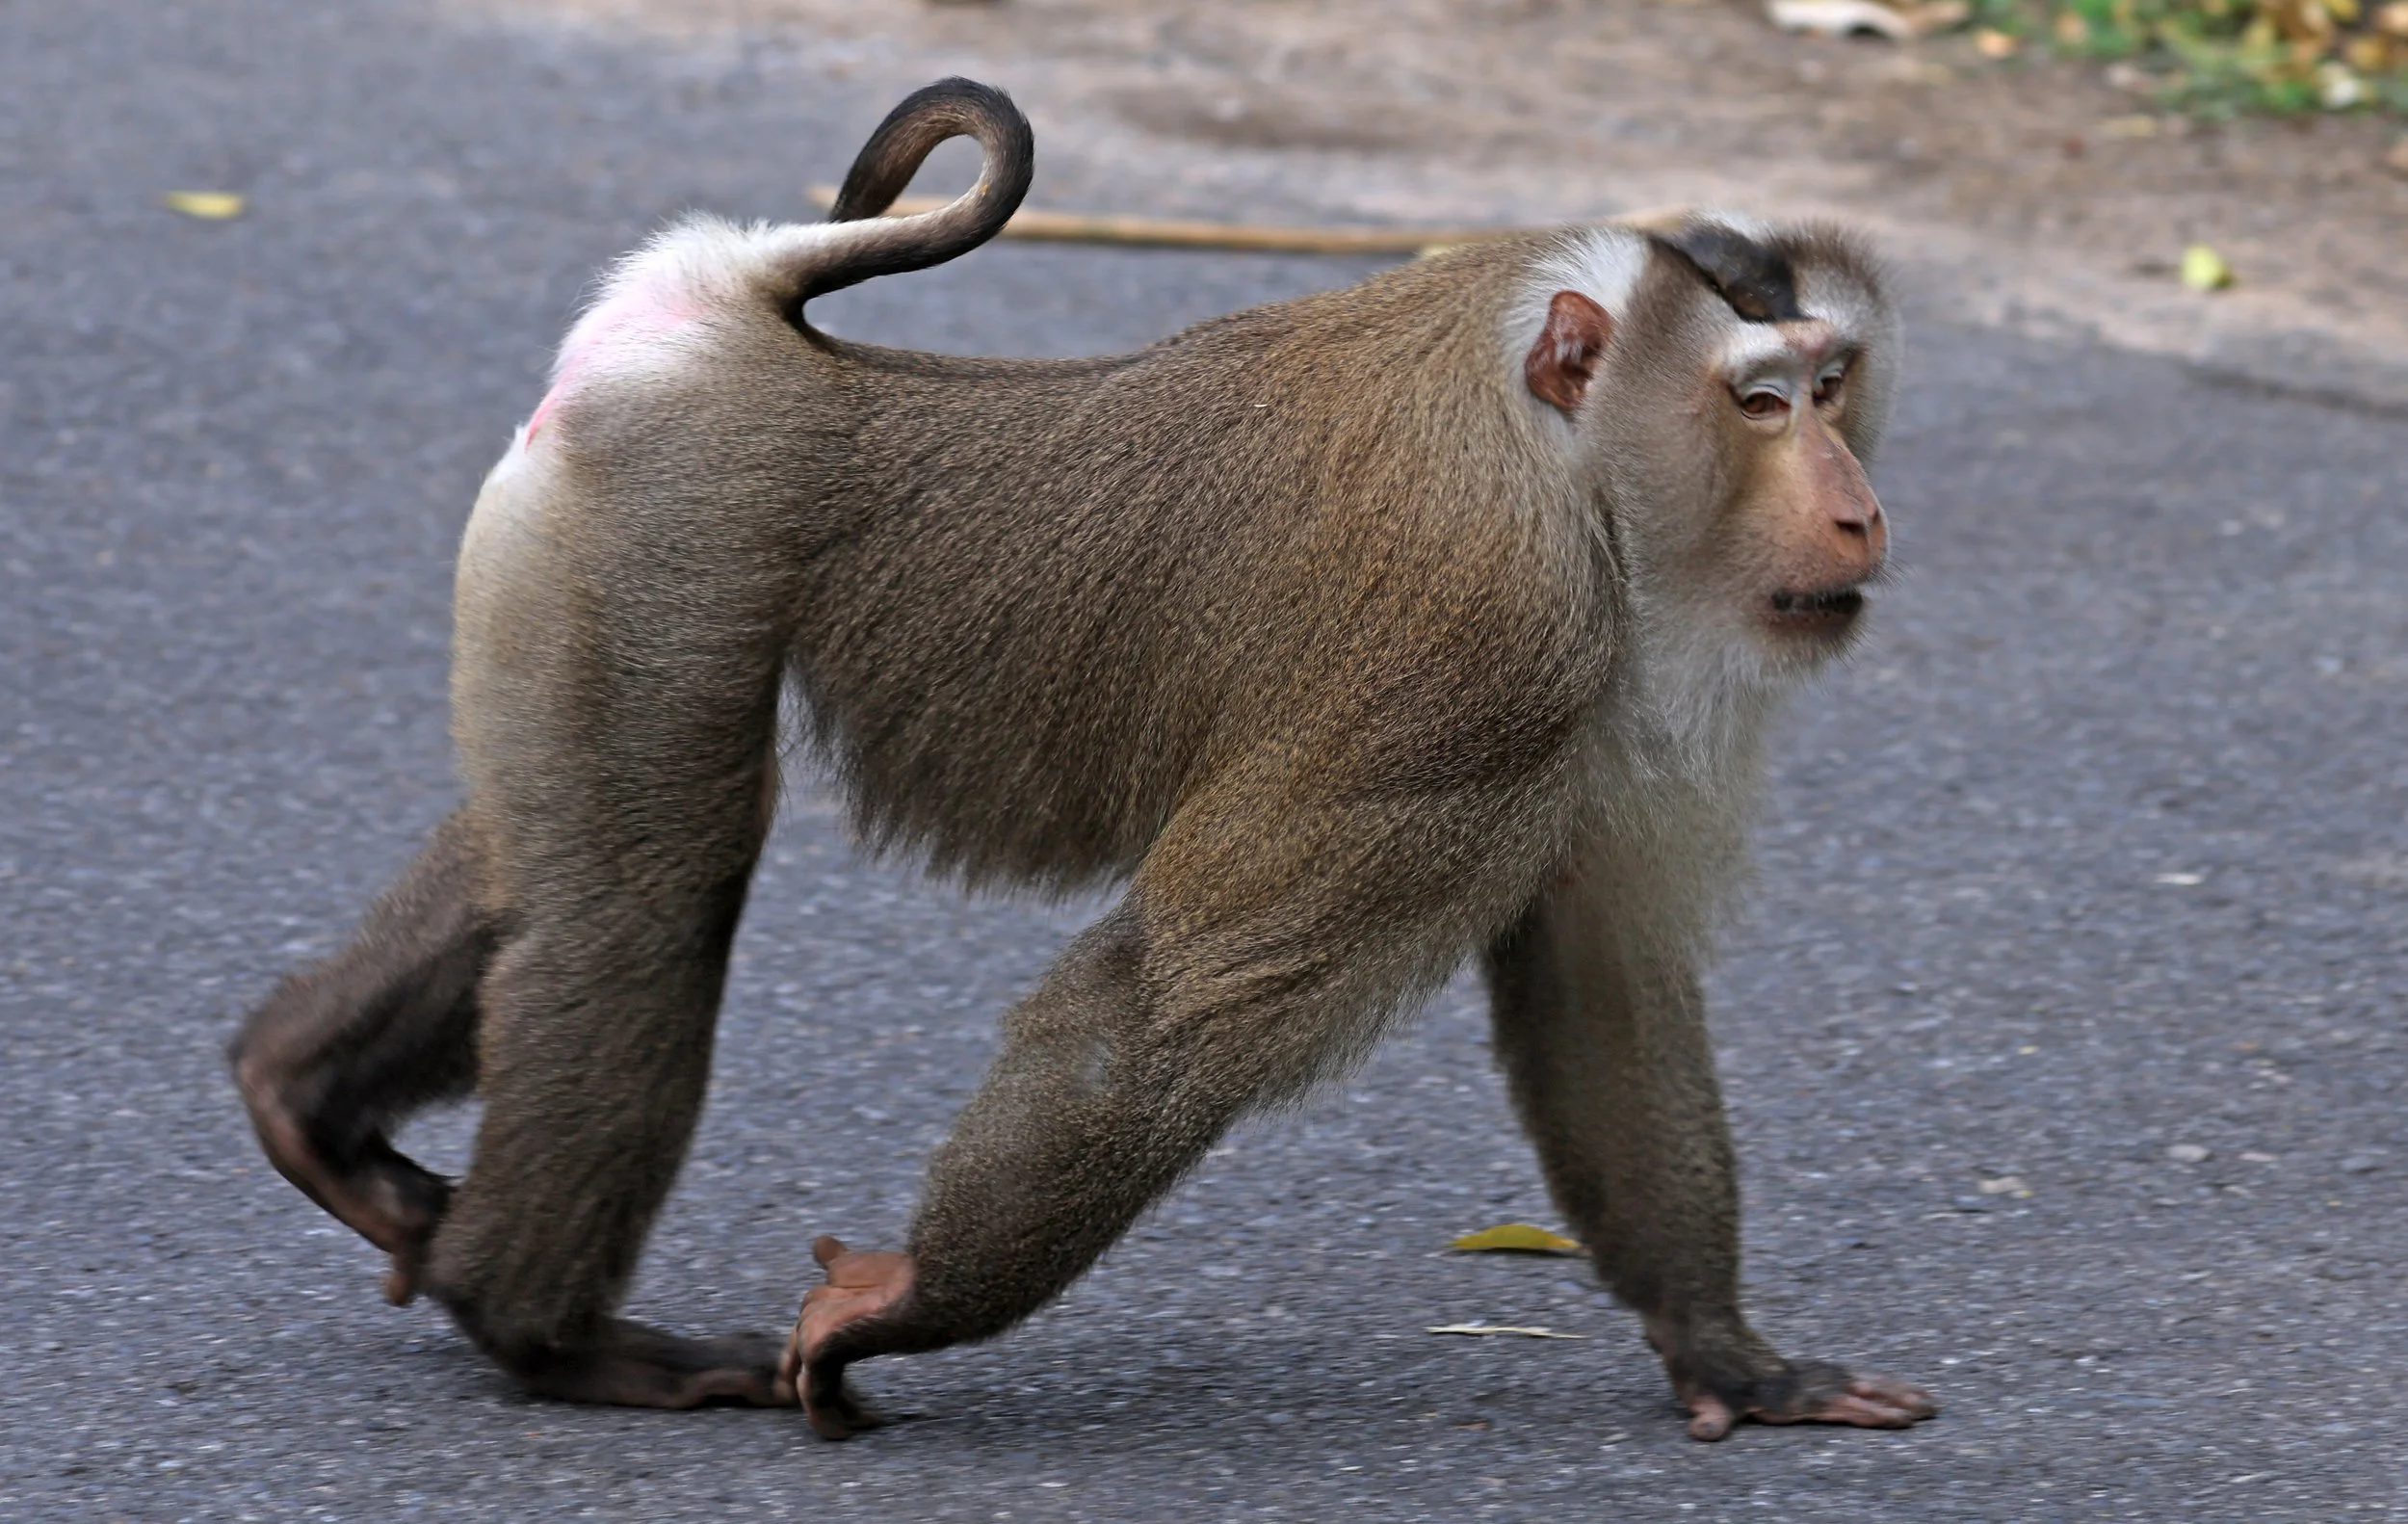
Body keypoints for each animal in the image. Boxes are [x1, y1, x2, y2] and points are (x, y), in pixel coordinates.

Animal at [230, 77, 1937, 1444]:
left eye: (1832, 384)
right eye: (1758, 402)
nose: (1860, 511)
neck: (1565, 460)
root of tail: (739, 318)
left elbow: (1598, 982)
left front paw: (1732, 1356)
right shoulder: (1481, 661)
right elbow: (1161, 1006)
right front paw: (908, 1303)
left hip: (580, 540)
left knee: (567, 856)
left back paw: (302, 1098)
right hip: (676, 526)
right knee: (645, 895)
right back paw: (545, 1333)